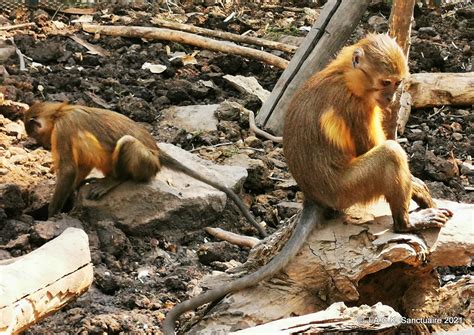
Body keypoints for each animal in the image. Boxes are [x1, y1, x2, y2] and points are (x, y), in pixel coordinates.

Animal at [23, 103, 266, 238]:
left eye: (37, 135)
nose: (43, 145)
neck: (60, 112)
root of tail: (157, 152)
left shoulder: (63, 129)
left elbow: (68, 170)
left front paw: (51, 217)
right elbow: (80, 166)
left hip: (147, 163)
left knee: (127, 143)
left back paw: (115, 179)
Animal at [162, 33, 452, 335]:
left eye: (396, 84)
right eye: (385, 83)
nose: (390, 98)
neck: (345, 76)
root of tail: (313, 196)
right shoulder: (355, 106)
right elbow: (372, 148)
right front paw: (418, 189)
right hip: (346, 189)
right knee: (391, 154)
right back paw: (405, 223)